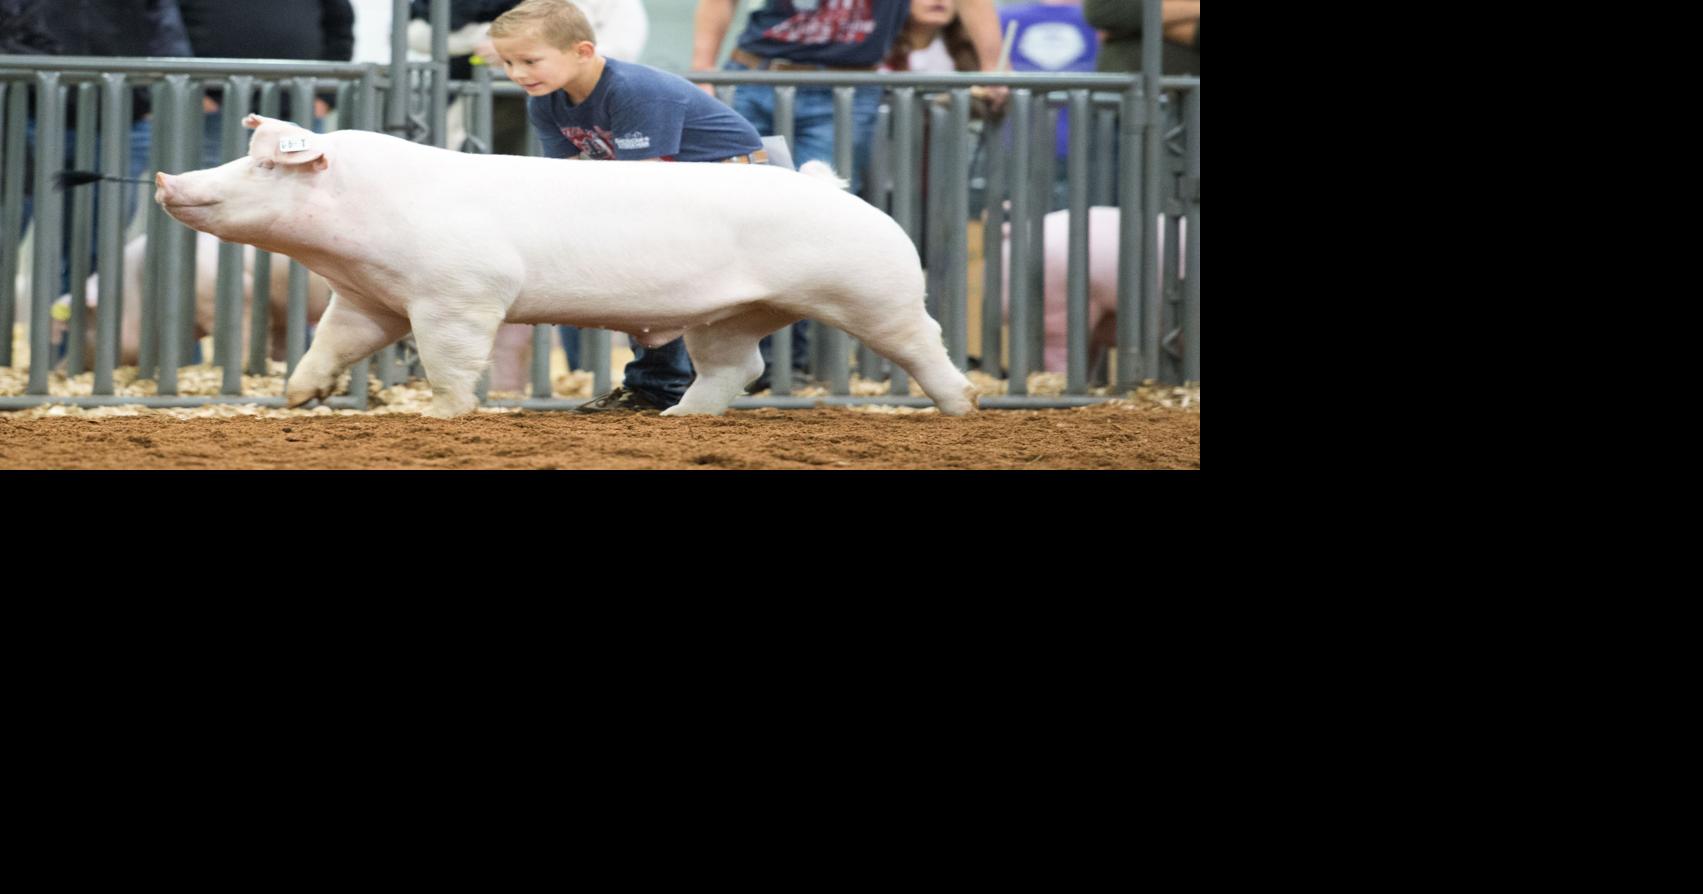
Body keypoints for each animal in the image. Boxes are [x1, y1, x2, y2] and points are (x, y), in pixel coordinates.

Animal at [51, 231, 332, 368]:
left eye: (87, 323)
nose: (61, 370)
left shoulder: (237, 297)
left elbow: (238, 336)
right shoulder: (282, 312)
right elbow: (280, 344)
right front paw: (278, 364)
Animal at [154, 114, 977, 419]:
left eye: (265, 164)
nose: (166, 177)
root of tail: (835, 190)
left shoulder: (462, 292)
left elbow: (451, 361)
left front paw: (440, 415)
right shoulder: (371, 300)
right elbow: (331, 343)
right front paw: (297, 398)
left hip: (875, 292)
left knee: (925, 343)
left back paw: (961, 409)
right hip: (731, 313)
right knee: (737, 367)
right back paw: (676, 421)